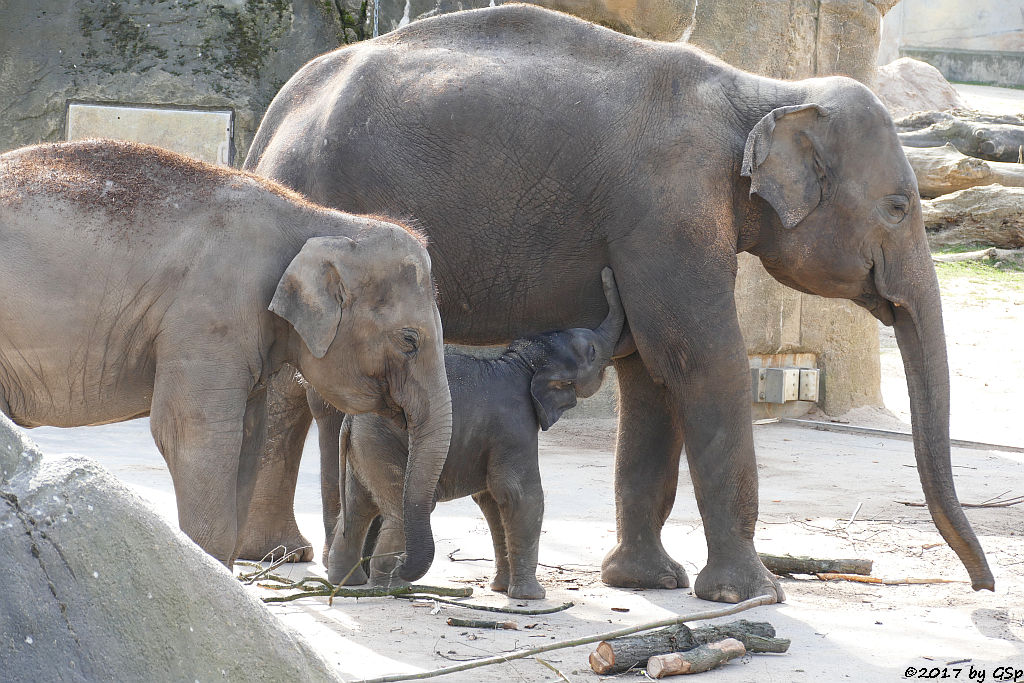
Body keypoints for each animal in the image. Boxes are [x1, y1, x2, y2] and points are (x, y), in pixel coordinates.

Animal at [0, 141, 452, 581]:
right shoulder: (209, 317)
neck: (320, 220)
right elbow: (193, 432)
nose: (394, 567)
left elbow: (250, 436)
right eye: (409, 341)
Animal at [327, 266, 622, 598]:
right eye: (592, 352)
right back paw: (391, 588)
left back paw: (347, 583)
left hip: (364, 448)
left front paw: (501, 588)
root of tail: (350, 421)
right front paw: (532, 597)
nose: (607, 272)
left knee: (357, 507)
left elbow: (491, 500)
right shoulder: (515, 426)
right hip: (383, 443)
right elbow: (519, 494)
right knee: (396, 512)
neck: (522, 362)